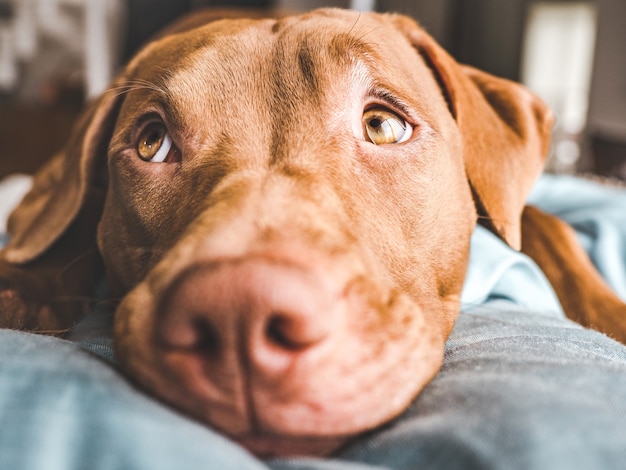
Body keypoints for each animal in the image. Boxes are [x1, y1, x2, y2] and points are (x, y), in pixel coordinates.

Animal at [1, 6, 624, 456]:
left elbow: (549, 230)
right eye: (152, 142)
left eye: (384, 126)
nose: (239, 311)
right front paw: (23, 285)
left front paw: (609, 313)